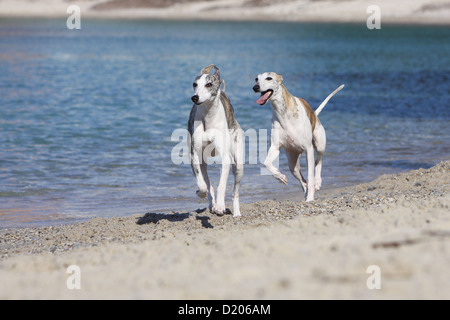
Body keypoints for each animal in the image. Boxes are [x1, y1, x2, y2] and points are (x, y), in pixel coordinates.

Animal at [187, 64, 243, 216]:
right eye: (194, 84)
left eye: (209, 84)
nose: (195, 97)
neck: (208, 116)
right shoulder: (194, 155)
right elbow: (203, 185)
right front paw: (201, 193)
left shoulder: (226, 158)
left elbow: (222, 184)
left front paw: (220, 206)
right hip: (203, 162)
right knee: (207, 181)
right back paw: (212, 202)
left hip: (238, 164)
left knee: (235, 192)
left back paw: (235, 212)